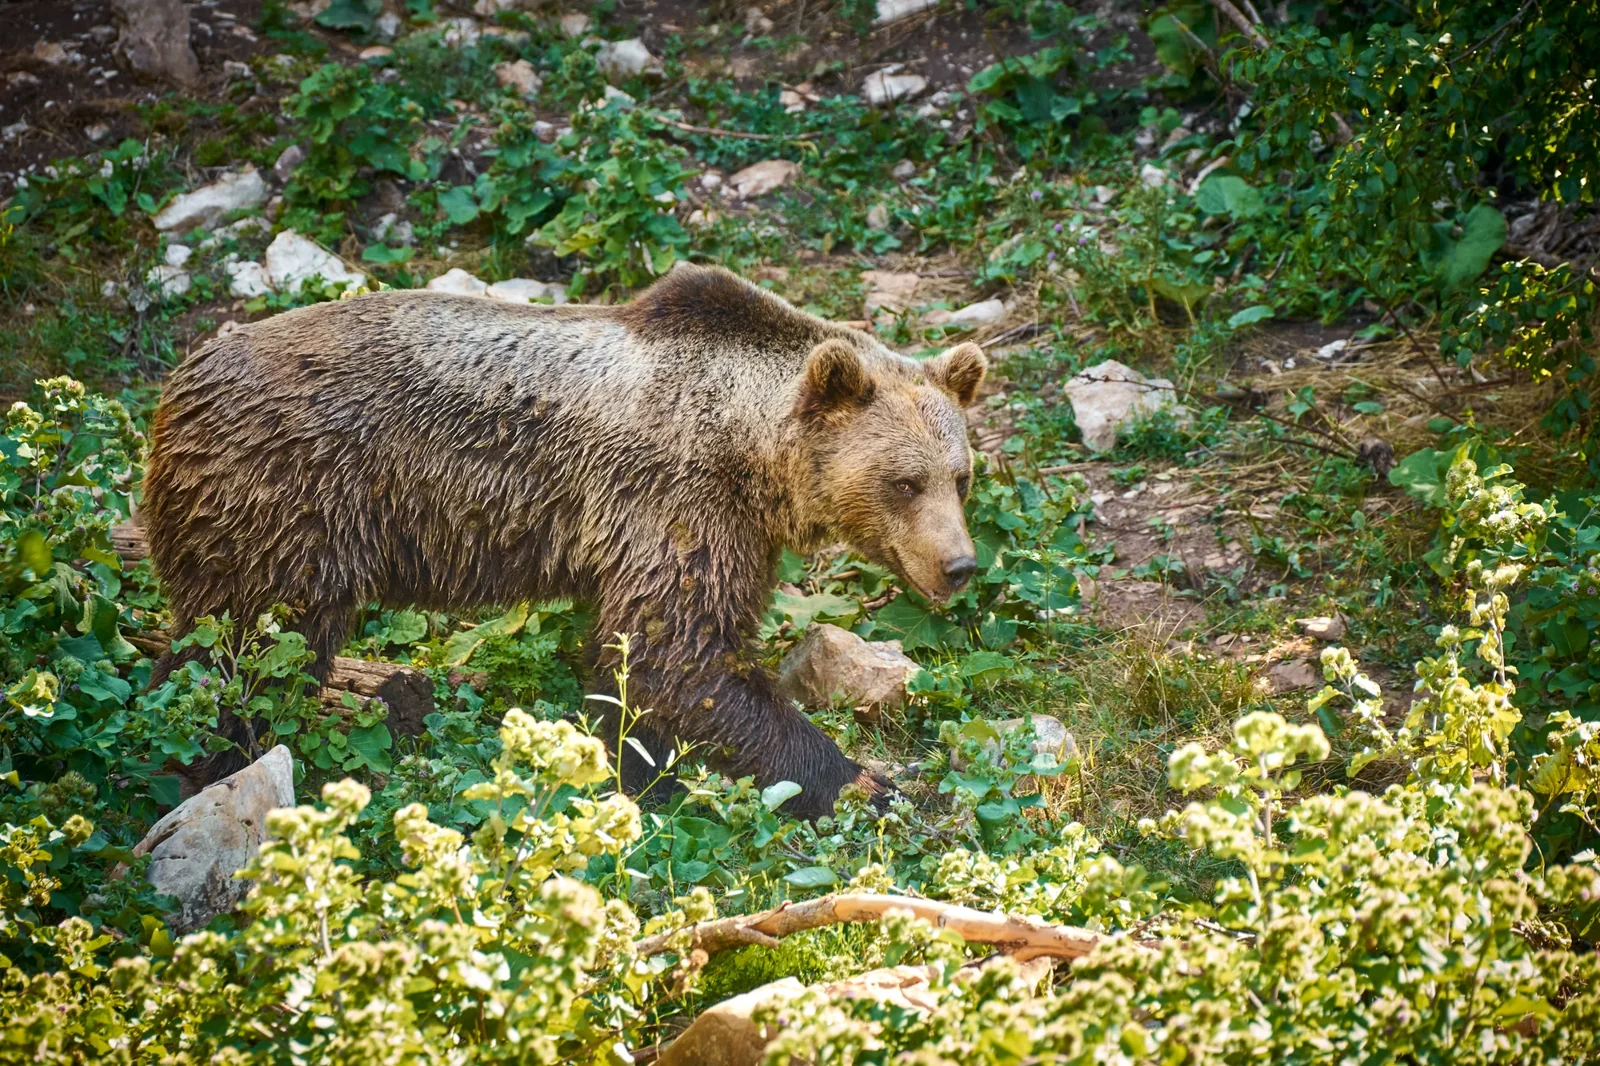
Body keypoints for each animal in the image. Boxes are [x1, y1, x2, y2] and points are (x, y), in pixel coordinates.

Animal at [142, 263, 986, 819]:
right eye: (904, 482)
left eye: (961, 475)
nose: (959, 565)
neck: (749, 448)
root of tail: (176, 386)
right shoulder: (676, 497)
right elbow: (678, 654)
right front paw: (864, 780)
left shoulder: (708, 526)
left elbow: (634, 668)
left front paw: (641, 773)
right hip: (286, 500)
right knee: (248, 656)